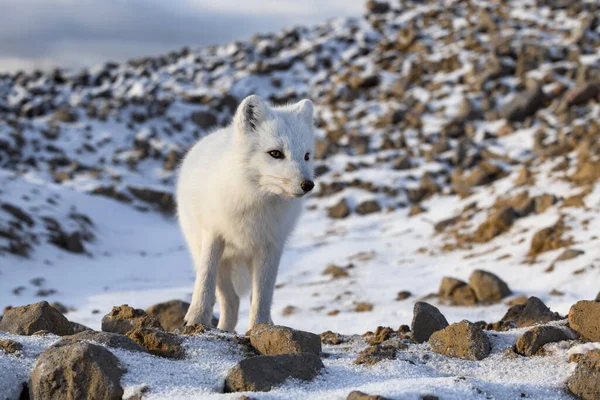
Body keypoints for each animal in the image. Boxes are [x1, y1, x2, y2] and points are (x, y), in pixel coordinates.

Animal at [176, 94, 316, 332]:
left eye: (306, 156)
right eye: (275, 153)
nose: (308, 185)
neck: (254, 200)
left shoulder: (270, 247)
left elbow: (262, 297)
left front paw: (260, 328)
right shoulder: (213, 234)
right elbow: (204, 280)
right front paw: (196, 318)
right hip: (212, 254)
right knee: (230, 300)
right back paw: (224, 329)